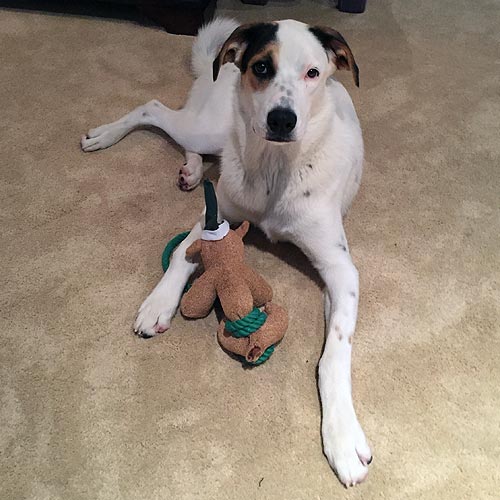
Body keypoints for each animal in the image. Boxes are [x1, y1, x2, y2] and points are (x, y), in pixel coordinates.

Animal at [81, 18, 372, 484]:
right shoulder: (215, 214)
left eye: (313, 73)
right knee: (154, 108)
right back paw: (108, 135)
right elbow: (181, 253)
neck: (274, 167)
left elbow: (334, 355)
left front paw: (342, 435)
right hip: (210, 127)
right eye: (262, 67)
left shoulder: (340, 268)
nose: (281, 119)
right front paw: (159, 303)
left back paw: (190, 169)